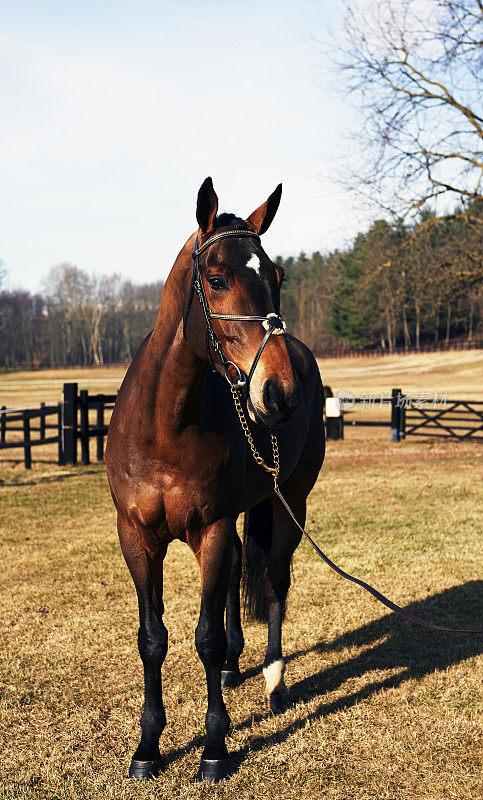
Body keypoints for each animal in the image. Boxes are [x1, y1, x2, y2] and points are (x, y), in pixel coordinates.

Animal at [106, 178, 326, 784]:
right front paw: (147, 748)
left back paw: (274, 680)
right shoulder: (137, 536)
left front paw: (214, 746)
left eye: (278, 276)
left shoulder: (214, 528)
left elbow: (203, 635)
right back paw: (233, 666)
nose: (279, 393)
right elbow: (152, 638)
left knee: (274, 580)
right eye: (218, 278)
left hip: (289, 501)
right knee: (235, 581)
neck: (166, 425)